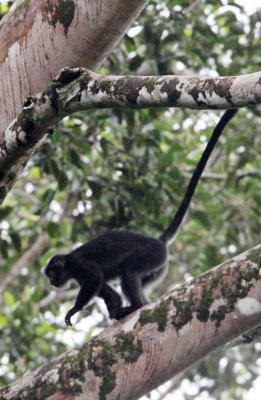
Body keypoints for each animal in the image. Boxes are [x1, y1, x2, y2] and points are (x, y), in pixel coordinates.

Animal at [43, 108, 237, 324]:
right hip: (159, 267)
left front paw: (74, 310)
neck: (68, 262)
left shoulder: (79, 265)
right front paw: (113, 308)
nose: (51, 282)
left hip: (153, 254)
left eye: (52, 272)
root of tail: (158, 241)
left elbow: (95, 277)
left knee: (127, 268)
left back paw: (136, 306)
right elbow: (109, 291)